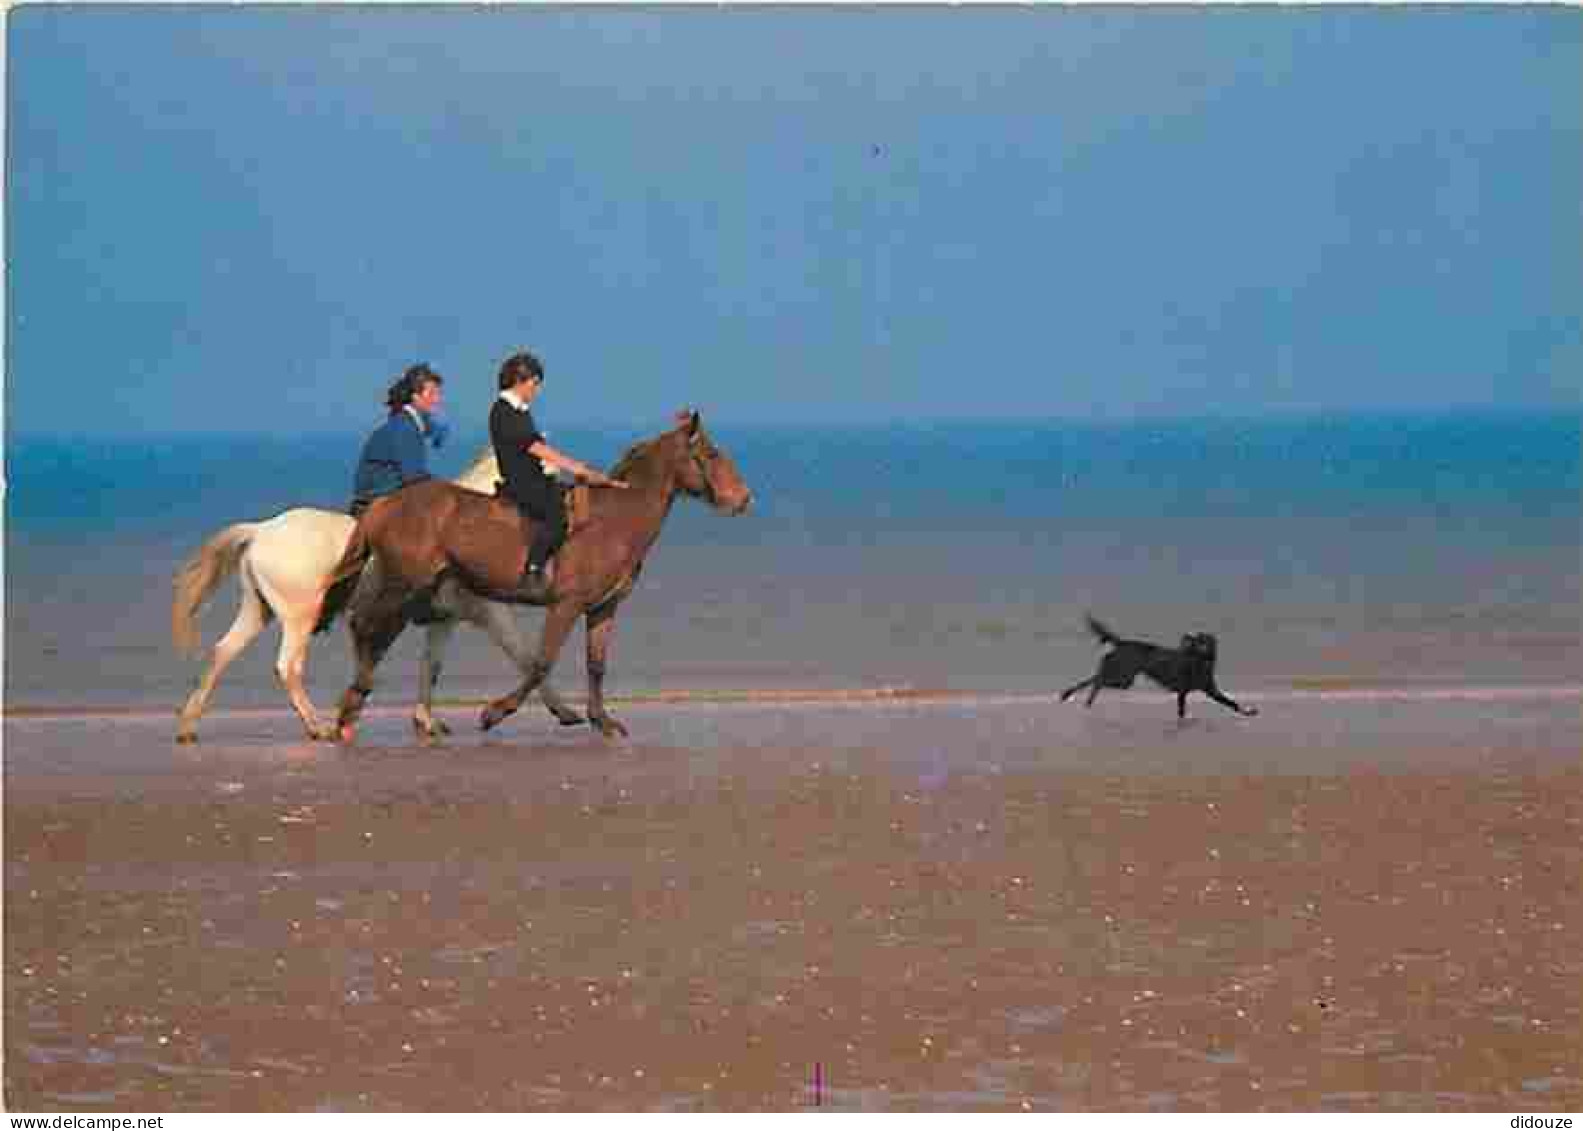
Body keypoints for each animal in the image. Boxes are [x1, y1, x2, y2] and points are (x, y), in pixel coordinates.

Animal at [168, 443, 588, 744]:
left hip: (259, 610)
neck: (465, 520)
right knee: (288, 667)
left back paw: (189, 725)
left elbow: (431, 667)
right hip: (299, 617)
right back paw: (318, 725)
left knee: (222, 652)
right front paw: (564, 711)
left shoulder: (444, 620)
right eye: (546, 471)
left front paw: (426, 721)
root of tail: (259, 531)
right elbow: (527, 659)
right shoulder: (490, 614)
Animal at [324, 408, 750, 734]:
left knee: (375, 632)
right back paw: (350, 707)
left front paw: (603, 721)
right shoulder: (566, 605)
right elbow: (541, 662)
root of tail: (385, 504)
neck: (612, 520)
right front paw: (494, 713)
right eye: (711, 453)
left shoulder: (602, 608)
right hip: (403, 585)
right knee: (367, 628)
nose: (744, 498)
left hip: (418, 591)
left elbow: (596, 665)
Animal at [1063, 611, 1260, 719]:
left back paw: (1076, 697)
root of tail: (1123, 642)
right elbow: (1181, 711)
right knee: (1098, 679)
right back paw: (1077, 697)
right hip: (1123, 677)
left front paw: (1248, 711)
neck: (1198, 662)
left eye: (1204, 640)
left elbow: (1232, 703)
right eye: (1196, 641)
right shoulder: (1183, 692)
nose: (1196, 645)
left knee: (1096, 678)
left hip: (1123, 678)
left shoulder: (1211, 691)